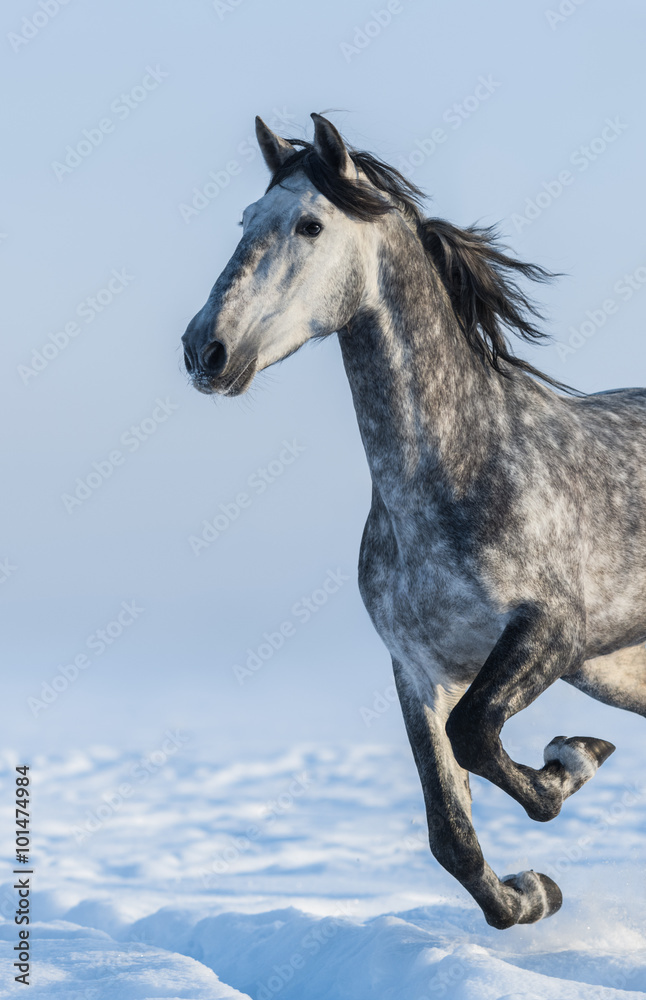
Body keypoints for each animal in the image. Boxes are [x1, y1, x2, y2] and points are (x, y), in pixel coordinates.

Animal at [182, 115, 646, 928]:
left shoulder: (553, 631)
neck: (458, 472)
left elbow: (478, 739)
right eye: (244, 221)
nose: (205, 349)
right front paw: (531, 894)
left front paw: (568, 763)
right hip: (620, 673)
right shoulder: (419, 670)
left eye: (309, 225)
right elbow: (450, 830)